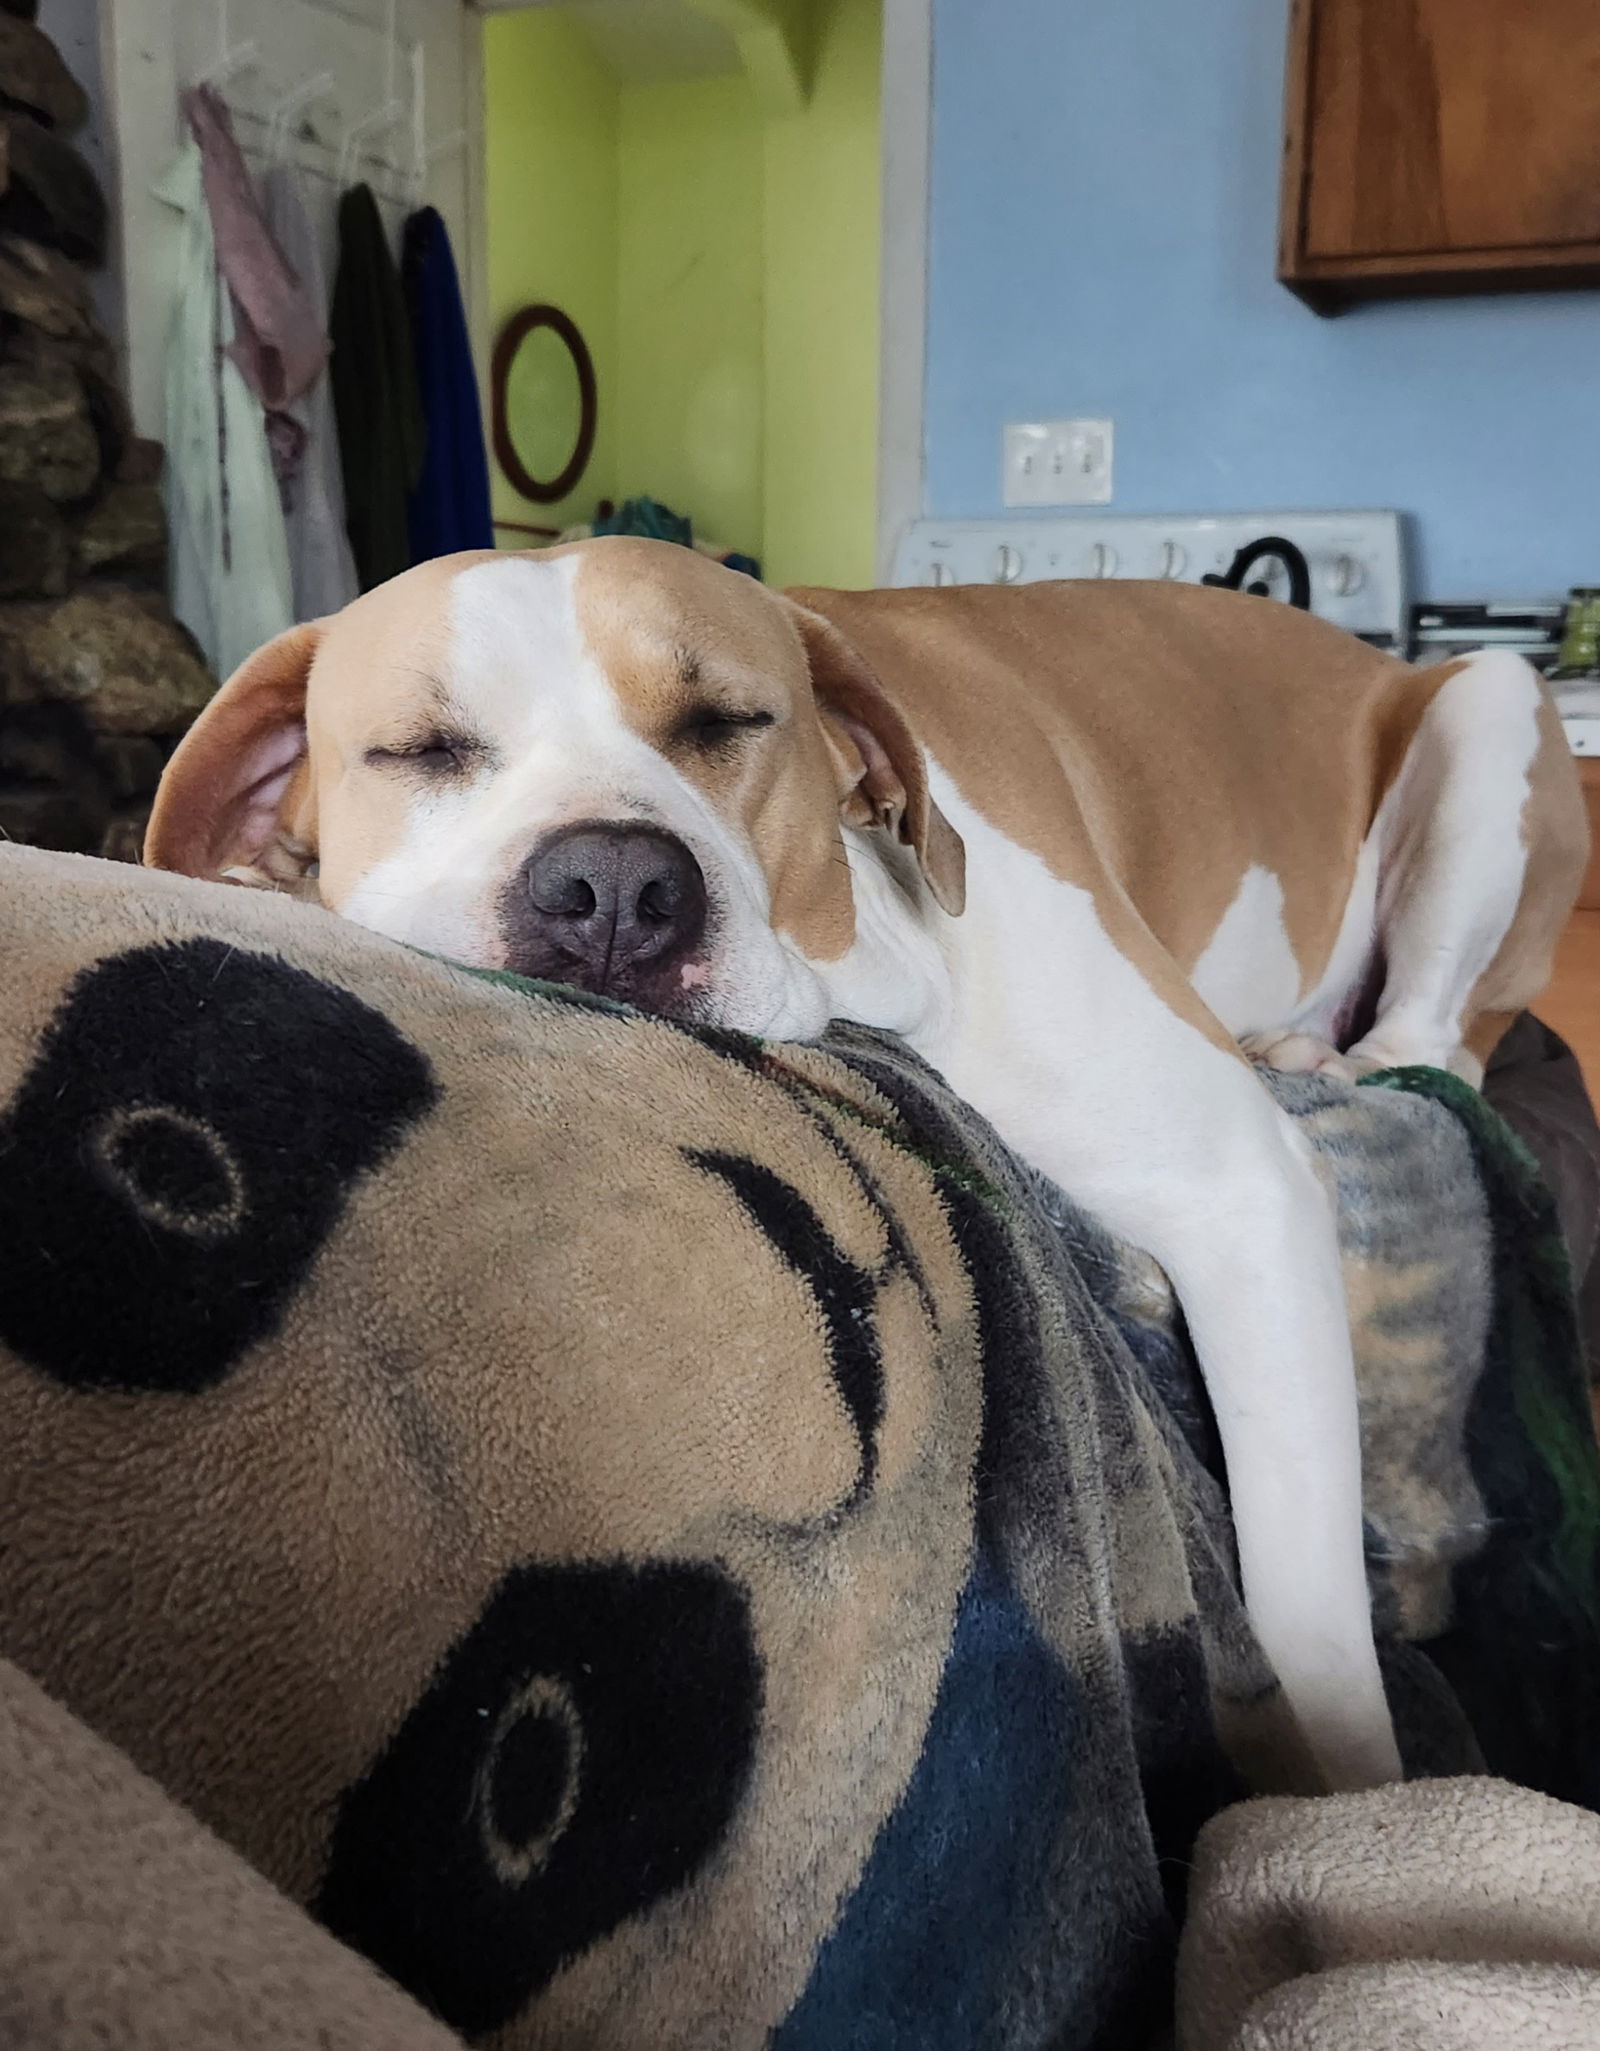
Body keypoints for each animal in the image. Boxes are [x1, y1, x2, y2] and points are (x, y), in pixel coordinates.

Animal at [146, 537, 1583, 1788]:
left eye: (729, 720)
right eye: (423, 749)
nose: (611, 884)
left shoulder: (1240, 1187)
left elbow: (1310, 1605)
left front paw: (1359, 1805)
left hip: (1493, 714)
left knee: (1435, 1040)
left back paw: (1331, 1046)